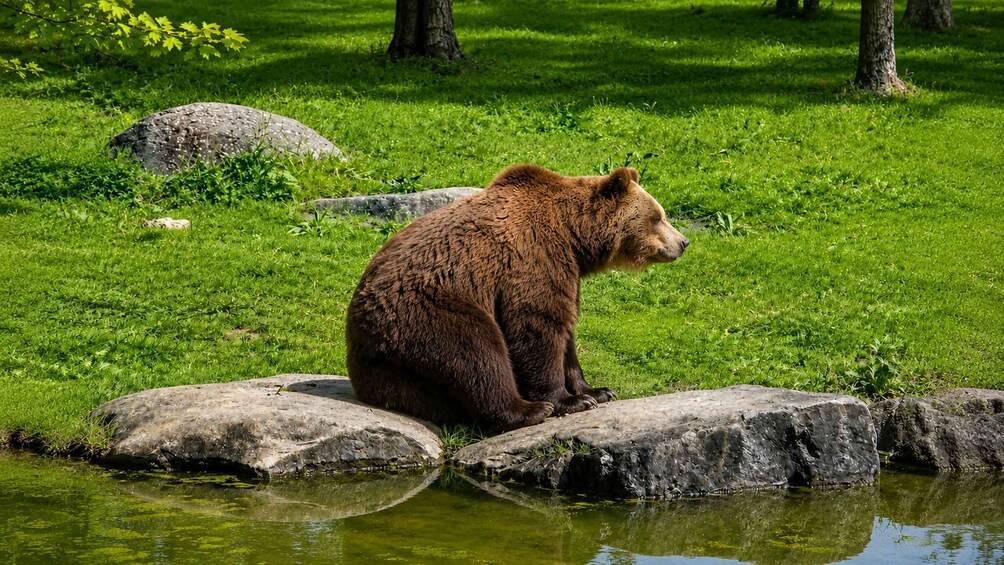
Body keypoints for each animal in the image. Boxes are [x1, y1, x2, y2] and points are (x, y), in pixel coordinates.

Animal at [346, 164, 689, 433]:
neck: (573, 233)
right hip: (427, 311)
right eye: (657, 217)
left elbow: (567, 331)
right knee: (476, 352)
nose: (683, 242)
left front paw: (598, 391)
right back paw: (527, 410)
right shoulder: (533, 256)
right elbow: (537, 322)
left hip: (390, 370)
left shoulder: (568, 271)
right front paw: (570, 401)